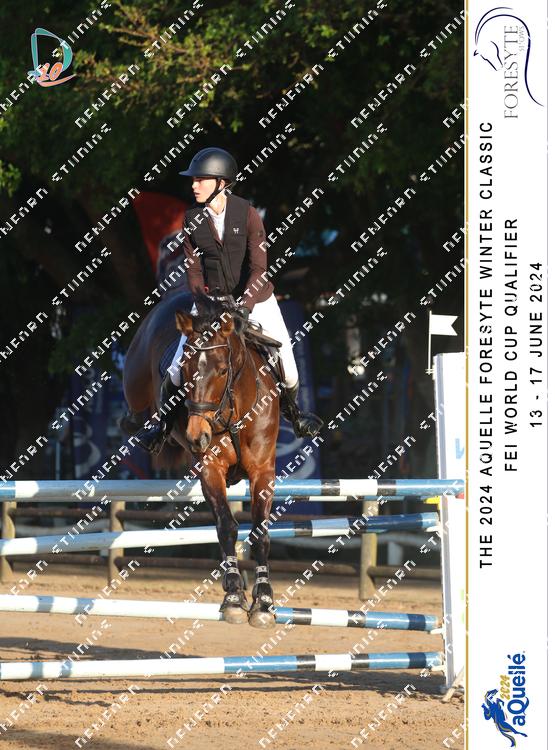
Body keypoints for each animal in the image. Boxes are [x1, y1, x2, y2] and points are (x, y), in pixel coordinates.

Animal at [121, 290, 282, 628]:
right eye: (185, 368)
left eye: (222, 370)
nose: (197, 436)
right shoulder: (210, 467)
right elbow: (226, 525)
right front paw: (233, 597)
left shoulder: (263, 470)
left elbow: (260, 531)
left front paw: (263, 601)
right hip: (136, 379)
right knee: (134, 412)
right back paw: (147, 429)